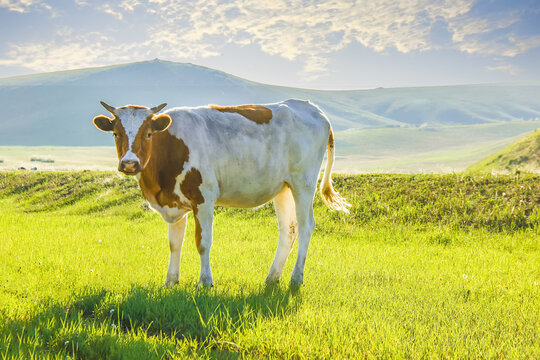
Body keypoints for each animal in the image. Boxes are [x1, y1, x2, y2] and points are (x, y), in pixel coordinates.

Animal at [94, 99, 350, 290]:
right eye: (116, 134)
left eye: (148, 134)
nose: (129, 163)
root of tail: (311, 107)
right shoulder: (174, 203)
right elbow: (174, 243)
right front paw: (170, 282)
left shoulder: (204, 198)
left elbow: (202, 242)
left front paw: (205, 282)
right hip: (283, 188)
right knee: (289, 229)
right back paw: (272, 278)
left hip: (303, 183)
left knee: (307, 226)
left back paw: (296, 279)